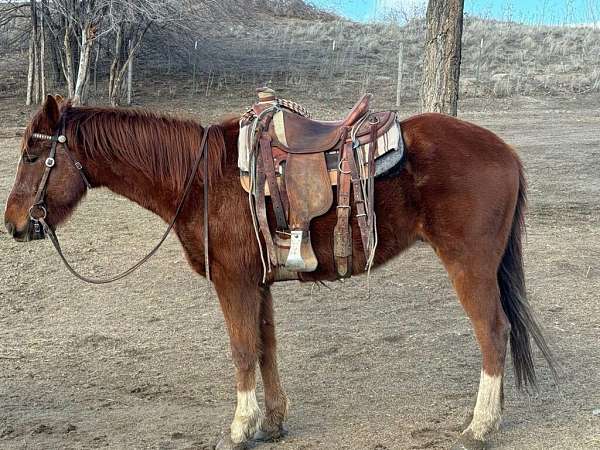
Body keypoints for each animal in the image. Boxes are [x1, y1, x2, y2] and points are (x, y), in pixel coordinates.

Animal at [4, 96, 556, 450]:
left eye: (33, 153)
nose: (13, 224)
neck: (199, 179)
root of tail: (506, 151)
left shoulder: (234, 282)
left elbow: (243, 349)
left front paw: (239, 429)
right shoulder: (259, 283)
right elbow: (266, 347)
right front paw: (270, 423)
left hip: (470, 264)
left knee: (494, 332)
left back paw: (480, 427)